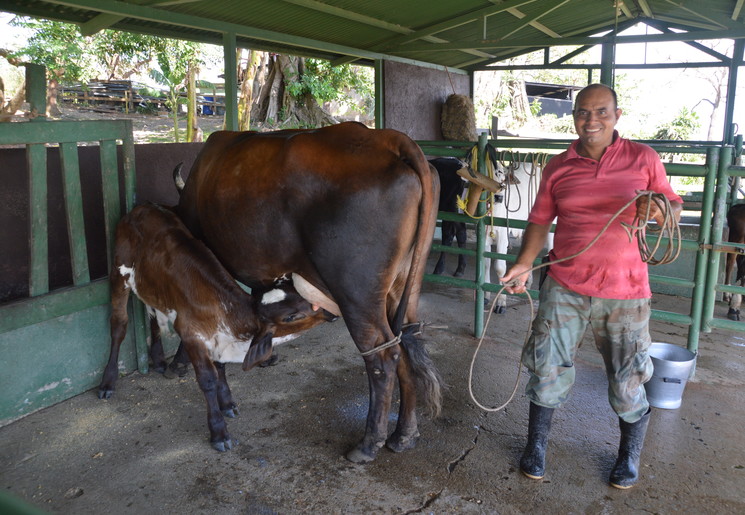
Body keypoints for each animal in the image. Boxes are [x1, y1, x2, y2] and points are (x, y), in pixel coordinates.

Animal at [98, 202, 332, 452]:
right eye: (291, 316)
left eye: (300, 294)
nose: (330, 310)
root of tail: (142, 207)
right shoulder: (191, 335)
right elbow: (208, 379)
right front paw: (219, 432)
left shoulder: (219, 338)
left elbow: (221, 369)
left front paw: (227, 403)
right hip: (119, 271)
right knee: (119, 325)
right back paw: (108, 382)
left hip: (150, 283)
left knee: (151, 313)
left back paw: (159, 360)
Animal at [176, 122, 442, 464]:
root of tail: (386, 138)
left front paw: (180, 361)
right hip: (403, 285)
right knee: (406, 341)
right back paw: (404, 435)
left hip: (356, 293)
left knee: (382, 355)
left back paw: (369, 443)